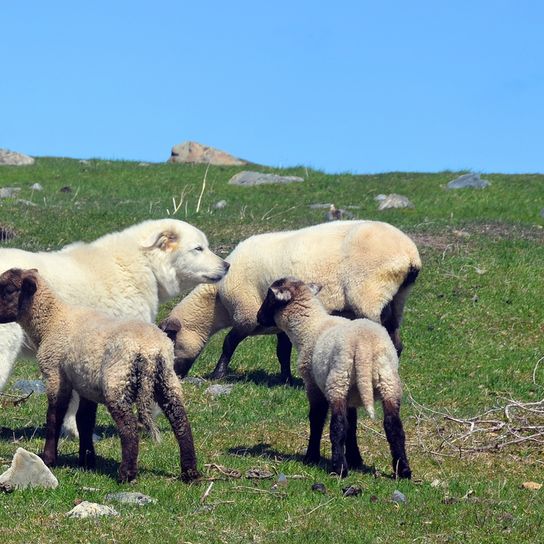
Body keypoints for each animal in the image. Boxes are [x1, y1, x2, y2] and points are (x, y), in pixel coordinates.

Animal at [0, 266, 199, 480]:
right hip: (167, 380)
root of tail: (150, 350)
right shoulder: (86, 384)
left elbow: (54, 416)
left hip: (118, 382)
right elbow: (84, 420)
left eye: (9, 289)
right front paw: (86, 460)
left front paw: (49, 459)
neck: (51, 322)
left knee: (129, 428)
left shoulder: (55, 375)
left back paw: (126, 474)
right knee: (181, 423)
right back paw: (190, 473)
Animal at [160, 219, 420, 380]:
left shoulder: (246, 313)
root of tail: (409, 255)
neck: (217, 302)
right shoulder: (279, 320)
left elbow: (229, 343)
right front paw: (285, 377)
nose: (176, 375)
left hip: (368, 294)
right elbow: (282, 351)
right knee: (396, 341)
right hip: (397, 298)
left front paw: (218, 374)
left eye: (172, 341)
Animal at [258, 278, 410, 478]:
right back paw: (404, 470)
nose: (258, 317)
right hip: (387, 381)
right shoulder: (352, 395)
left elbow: (317, 418)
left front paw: (311, 457)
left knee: (337, 426)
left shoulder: (313, 383)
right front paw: (355, 459)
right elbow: (352, 425)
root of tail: (364, 347)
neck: (309, 327)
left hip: (338, 380)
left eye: (269, 298)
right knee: (394, 426)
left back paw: (339, 468)